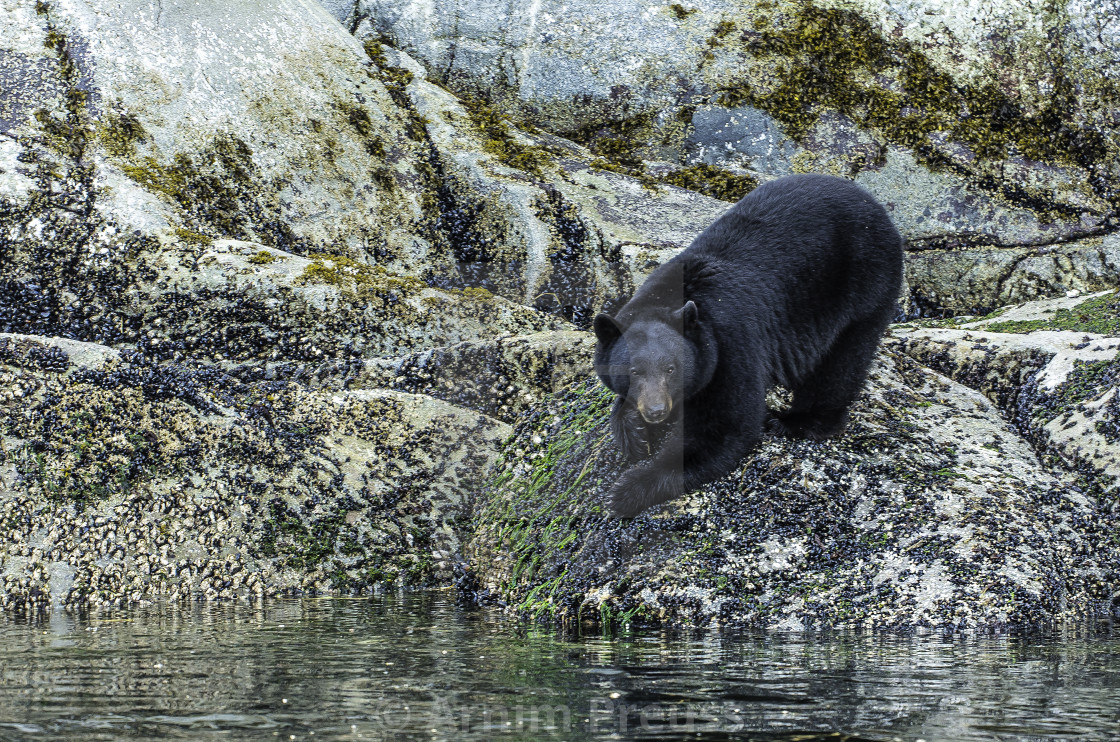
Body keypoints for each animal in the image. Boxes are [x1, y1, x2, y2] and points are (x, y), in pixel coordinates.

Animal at [595, 174, 900, 522]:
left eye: (671, 368)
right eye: (634, 370)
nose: (656, 411)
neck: (672, 295)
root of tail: (872, 201)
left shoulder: (731, 344)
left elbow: (726, 428)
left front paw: (628, 490)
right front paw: (632, 430)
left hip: (864, 284)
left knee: (841, 364)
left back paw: (796, 421)